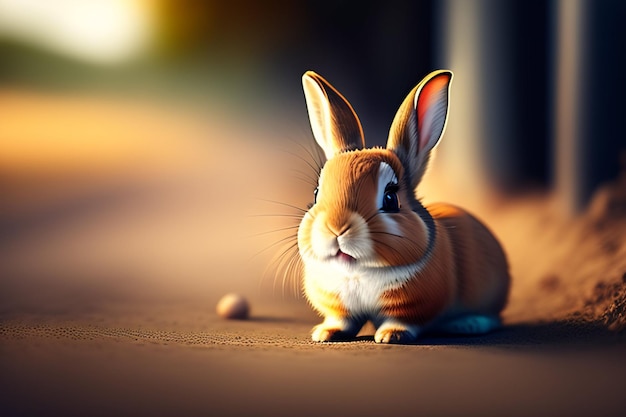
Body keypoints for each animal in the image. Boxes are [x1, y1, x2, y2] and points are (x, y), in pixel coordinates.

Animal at [296, 70, 508, 342]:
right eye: (316, 193)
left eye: (390, 199)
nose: (336, 228)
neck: (358, 271)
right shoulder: (340, 307)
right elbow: (342, 320)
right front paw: (326, 333)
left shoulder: (411, 307)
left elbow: (402, 320)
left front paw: (391, 335)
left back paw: (468, 324)